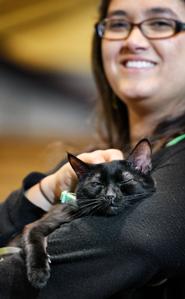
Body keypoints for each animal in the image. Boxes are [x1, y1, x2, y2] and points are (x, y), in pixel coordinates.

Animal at [21, 140, 155, 290]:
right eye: (96, 183)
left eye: (125, 181)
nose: (110, 196)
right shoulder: (36, 225)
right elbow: (33, 240)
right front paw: (38, 274)